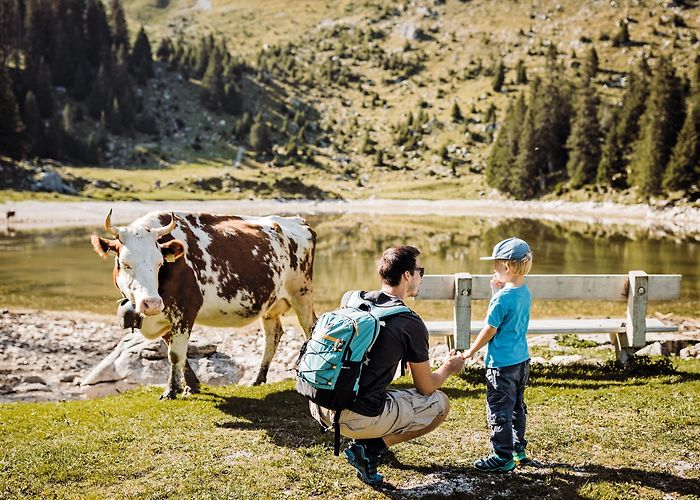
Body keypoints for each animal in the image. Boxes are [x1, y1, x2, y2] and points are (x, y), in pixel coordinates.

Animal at [91, 209, 318, 400]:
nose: (152, 303)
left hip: (302, 293)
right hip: (270, 303)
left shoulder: (185, 311)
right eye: (126, 264)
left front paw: (171, 391)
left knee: (310, 328)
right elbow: (178, 353)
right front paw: (192, 386)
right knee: (273, 335)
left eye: (159, 263)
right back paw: (257, 379)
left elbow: (175, 354)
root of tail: (297, 220)